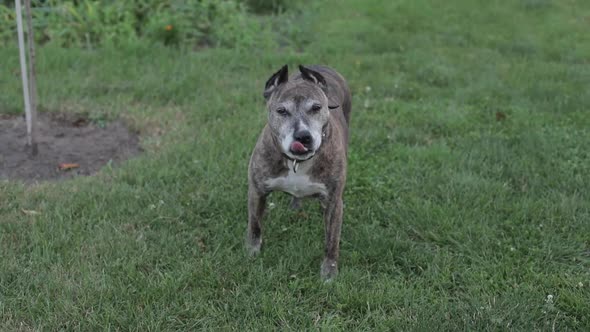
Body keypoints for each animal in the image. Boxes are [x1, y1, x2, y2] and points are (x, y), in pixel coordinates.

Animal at [249, 63, 354, 278]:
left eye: (316, 108)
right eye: (281, 111)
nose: (303, 136)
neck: (298, 161)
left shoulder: (334, 202)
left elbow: (332, 240)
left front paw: (329, 271)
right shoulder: (256, 191)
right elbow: (255, 224)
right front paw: (252, 252)